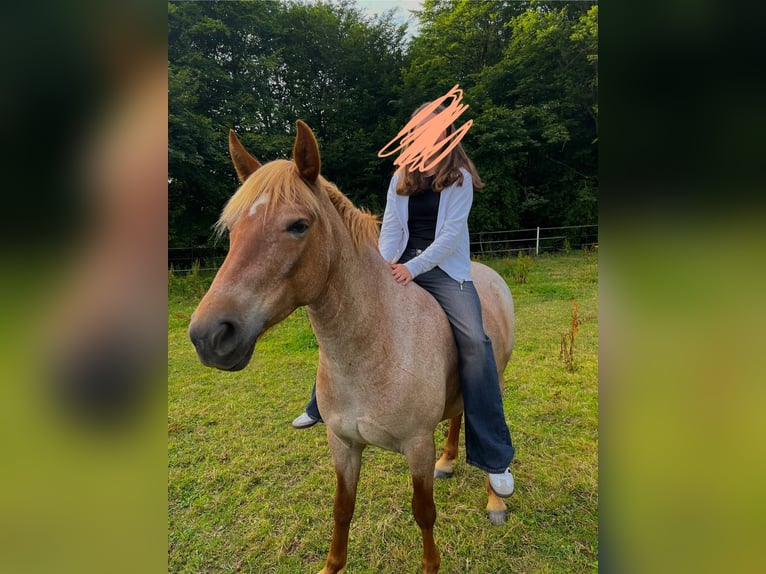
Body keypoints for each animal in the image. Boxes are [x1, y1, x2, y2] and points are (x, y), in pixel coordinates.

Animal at [189, 120, 515, 574]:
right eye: (233, 228)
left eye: (298, 225)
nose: (209, 334)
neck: (375, 347)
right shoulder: (342, 445)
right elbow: (342, 509)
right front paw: (331, 565)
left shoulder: (417, 446)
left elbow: (424, 513)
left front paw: (431, 564)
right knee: (457, 416)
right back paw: (449, 462)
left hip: (494, 378)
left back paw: (496, 499)